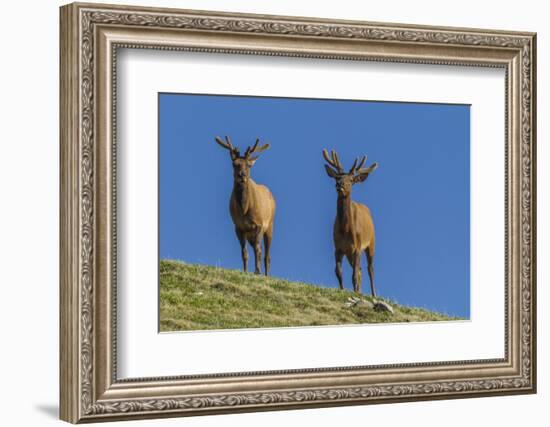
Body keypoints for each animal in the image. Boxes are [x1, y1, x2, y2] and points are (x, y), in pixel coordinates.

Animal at [215, 138, 276, 278]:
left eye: (248, 165)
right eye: (234, 164)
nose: (241, 175)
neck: (244, 209)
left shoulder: (259, 224)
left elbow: (258, 250)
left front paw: (257, 271)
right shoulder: (239, 227)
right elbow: (244, 252)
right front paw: (245, 271)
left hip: (270, 225)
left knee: (267, 254)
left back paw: (266, 274)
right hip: (250, 235)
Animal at [324, 149, 380, 296]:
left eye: (351, 180)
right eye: (337, 178)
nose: (339, 185)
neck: (345, 229)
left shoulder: (357, 247)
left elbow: (354, 275)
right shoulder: (338, 248)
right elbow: (338, 272)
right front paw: (342, 290)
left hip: (371, 242)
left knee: (370, 269)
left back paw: (373, 294)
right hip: (350, 253)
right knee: (360, 270)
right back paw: (359, 291)